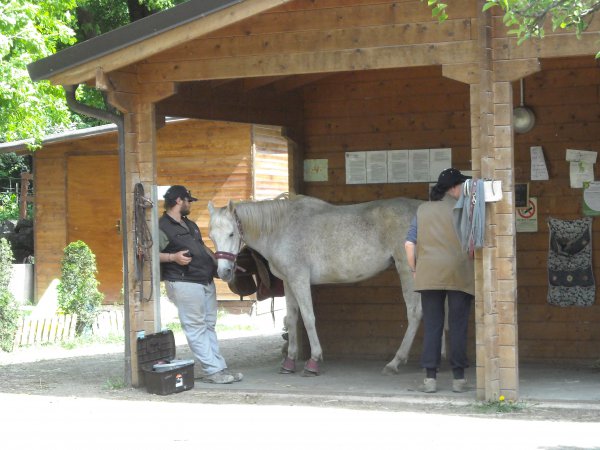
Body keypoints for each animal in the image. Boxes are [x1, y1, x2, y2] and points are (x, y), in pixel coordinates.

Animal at [209, 195, 424, 374]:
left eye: (231, 234)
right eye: (211, 236)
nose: (224, 272)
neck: (281, 229)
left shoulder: (300, 279)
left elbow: (308, 318)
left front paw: (313, 361)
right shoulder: (289, 282)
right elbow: (292, 319)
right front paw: (289, 362)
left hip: (407, 271)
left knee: (414, 313)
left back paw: (395, 362)